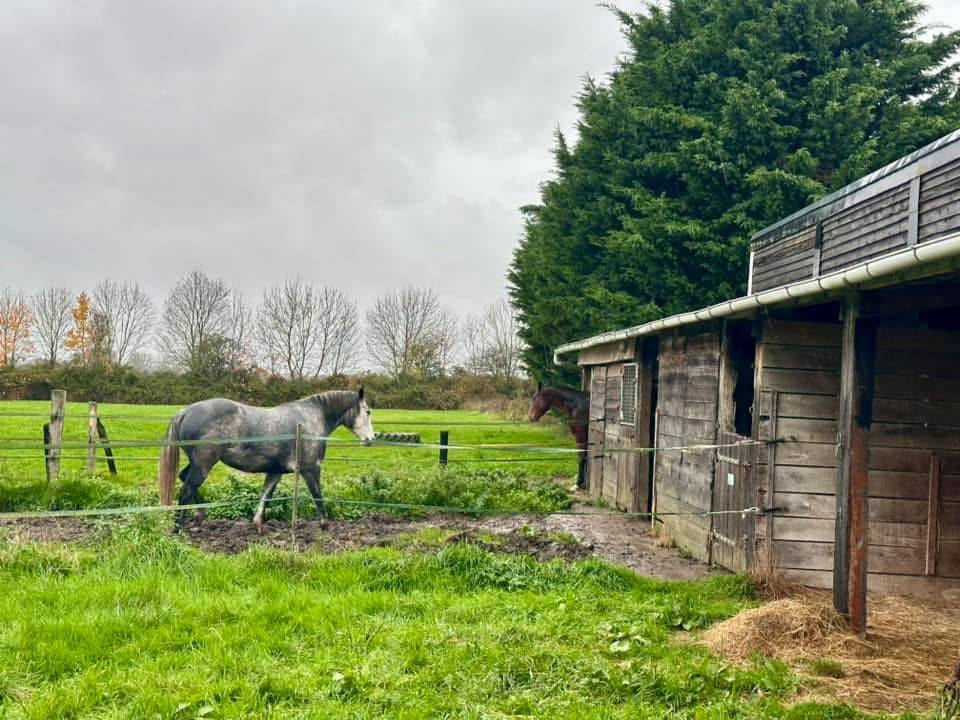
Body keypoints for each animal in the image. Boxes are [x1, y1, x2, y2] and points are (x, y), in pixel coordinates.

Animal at [158, 388, 374, 529]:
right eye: (368, 411)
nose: (371, 439)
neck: (310, 419)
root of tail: (185, 411)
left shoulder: (275, 472)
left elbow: (266, 496)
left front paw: (257, 524)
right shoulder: (310, 469)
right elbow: (317, 496)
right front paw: (324, 525)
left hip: (197, 463)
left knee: (184, 479)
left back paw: (199, 516)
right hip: (203, 464)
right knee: (187, 488)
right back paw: (179, 528)